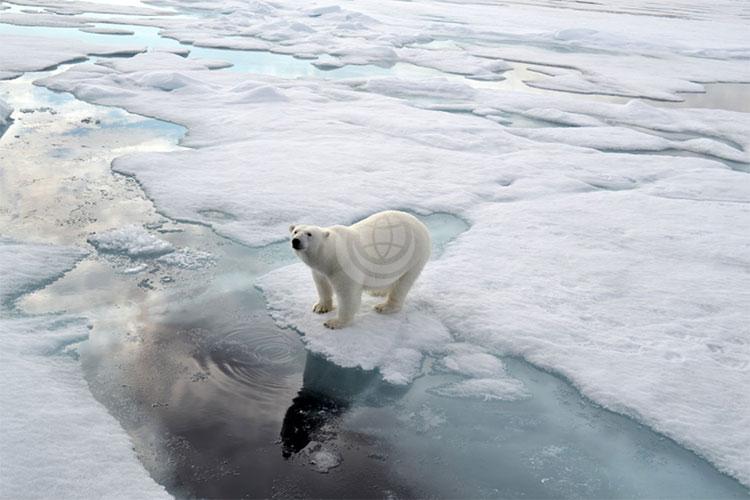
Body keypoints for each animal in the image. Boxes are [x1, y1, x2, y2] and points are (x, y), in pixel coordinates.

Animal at [289, 210, 431, 329]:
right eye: (295, 231)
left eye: (309, 234)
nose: (295, 241)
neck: (331, 255)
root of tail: (421, 224)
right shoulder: (320, 271)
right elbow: (322, 285)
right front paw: (320, 307)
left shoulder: (345, 268)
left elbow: (348, 296)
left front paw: (334, 322)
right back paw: (378, 292)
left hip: (414, 257)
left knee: (403, 284)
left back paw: (384, 307)